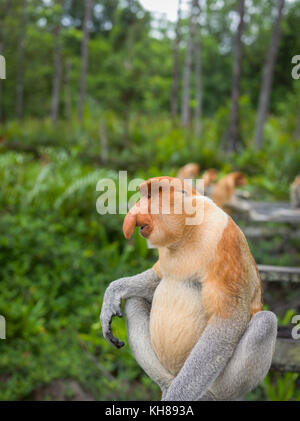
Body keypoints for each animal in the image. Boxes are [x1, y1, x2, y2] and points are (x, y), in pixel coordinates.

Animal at [100, 176, 276, 398]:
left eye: (149, 196)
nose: (133, 211)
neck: (187, 231)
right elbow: (158, 277)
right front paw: (112, 294)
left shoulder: (222, 239)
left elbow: (228, 318)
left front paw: (178, 396)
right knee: (134, 300)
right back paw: (167, 384)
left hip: (219, 379)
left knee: (265, 322)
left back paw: (209, 396)